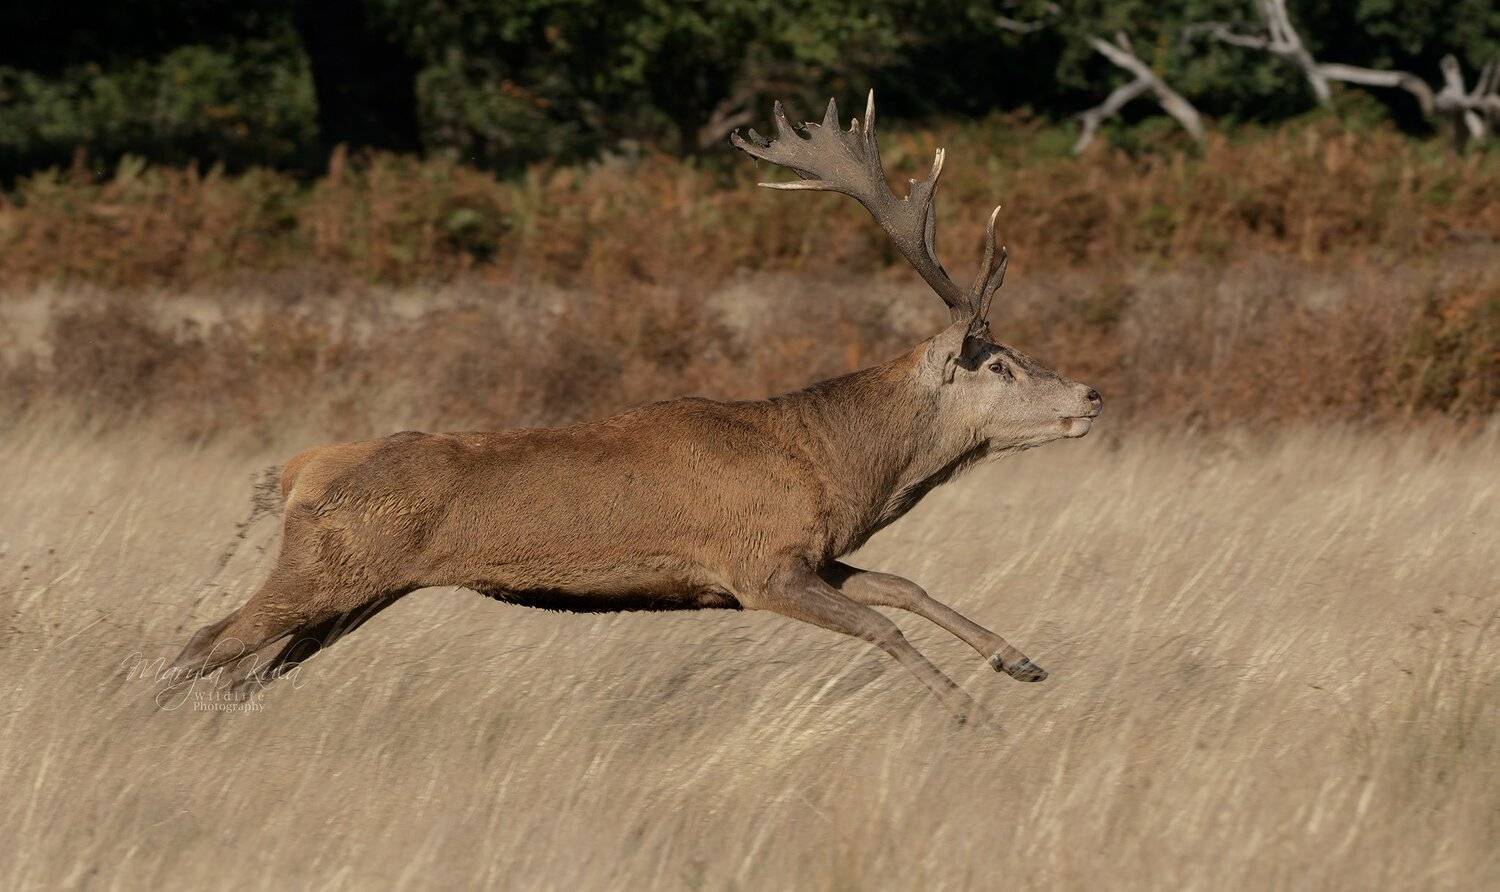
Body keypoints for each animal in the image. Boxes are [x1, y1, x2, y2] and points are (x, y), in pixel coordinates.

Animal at [166, 92, 1102, 724]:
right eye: (1002, 364)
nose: (1092, 393)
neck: (837, 466)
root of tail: (298, 469)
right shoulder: (758, 565)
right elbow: (883, 626)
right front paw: (973, 714)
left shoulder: (804, 555)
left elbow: (905, 585)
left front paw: (1019, 662)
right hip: (323, 571)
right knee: (198, 646)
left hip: (359, 594)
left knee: (246, 670)